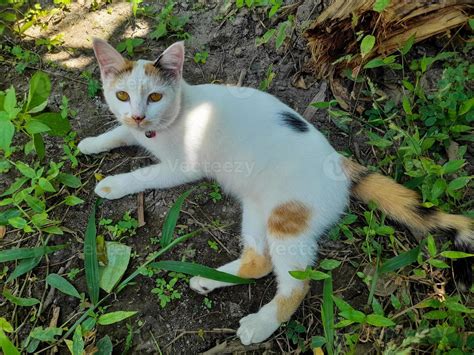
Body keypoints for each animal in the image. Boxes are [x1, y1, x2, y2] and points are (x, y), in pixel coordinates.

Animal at [79, 38, 472, 344]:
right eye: (122, 95)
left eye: (156, 96)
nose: (139, 115)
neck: (172, 118)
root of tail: (339, 161)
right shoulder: (133, 129)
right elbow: (118, 132)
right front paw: (91, 143)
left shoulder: (181, 167)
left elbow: (144, 174)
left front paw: (113, 184)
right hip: (255, 208)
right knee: (259, 261)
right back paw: (208, 280)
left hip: (287, 218)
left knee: (297, 283)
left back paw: (262, 323)